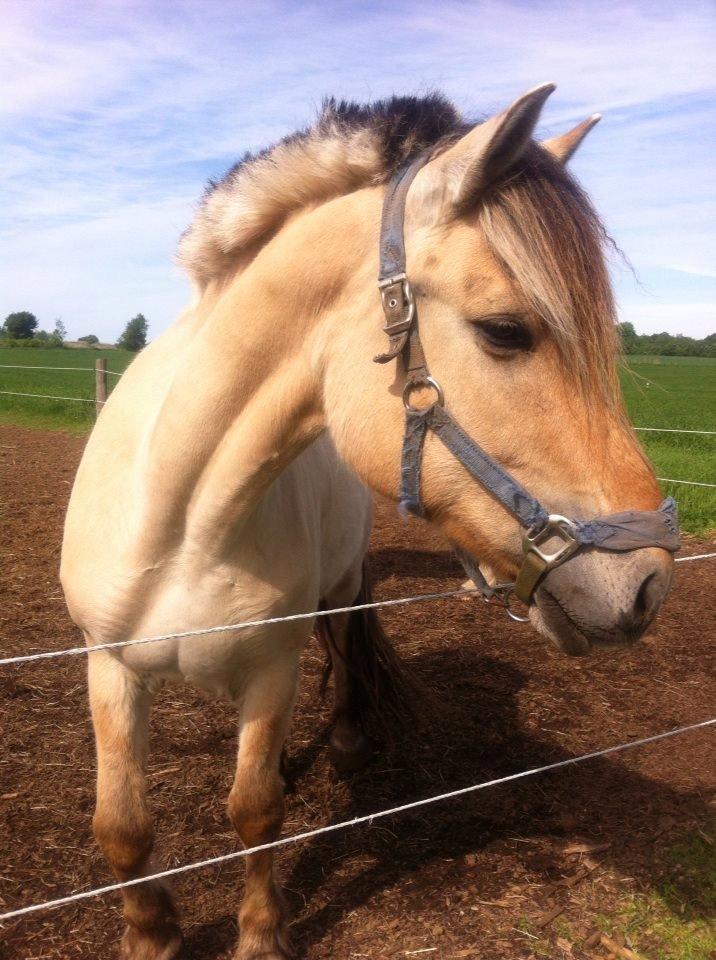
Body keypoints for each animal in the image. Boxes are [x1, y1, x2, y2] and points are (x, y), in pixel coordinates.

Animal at [61, 84, 674, 959]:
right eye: (505, 330)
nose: (649, 581)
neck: (183, 519)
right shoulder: (107, 664)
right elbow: (122, 826)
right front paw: (152, 937)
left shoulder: (272, 669)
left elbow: (255, 812)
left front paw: (261, 935)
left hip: (345, 581)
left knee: (347, 638)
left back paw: (347, 743)